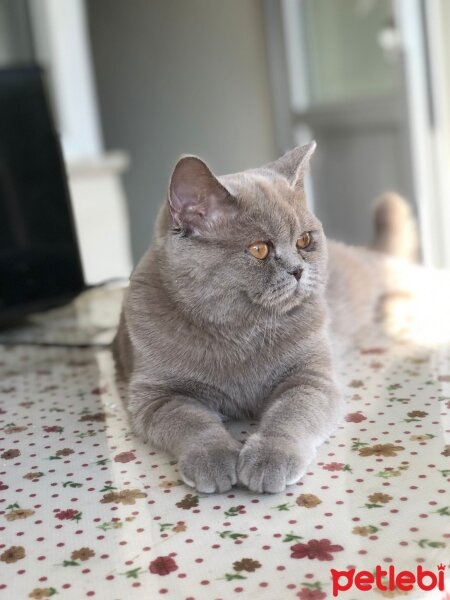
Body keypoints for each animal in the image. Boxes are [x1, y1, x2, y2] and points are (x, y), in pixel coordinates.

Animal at [113, 143, 418, 494]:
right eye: (259, 249)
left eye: (304, 241)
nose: (298, 270)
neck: (239, 332)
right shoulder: (155, 395)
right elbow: (191, 422)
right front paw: (213, 459)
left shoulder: (311, 377)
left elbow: (290, 414)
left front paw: (270, 458)